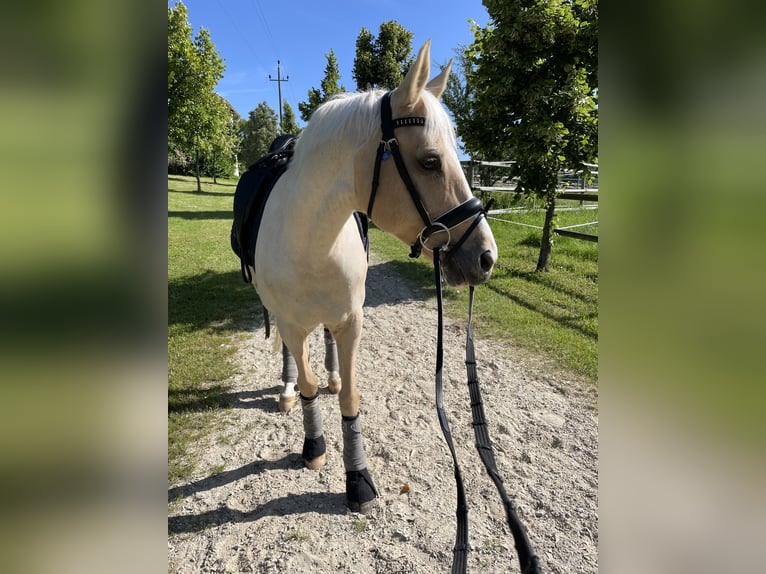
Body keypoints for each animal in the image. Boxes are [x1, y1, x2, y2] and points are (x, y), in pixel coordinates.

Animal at [248, 42, 498, 516]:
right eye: (430, 161)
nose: (487, 257)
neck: (310, 239)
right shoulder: (290, 323)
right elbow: (306, 380)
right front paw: (314, 445)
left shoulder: (352, 320)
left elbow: (350, 397)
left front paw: (358, 479)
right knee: (292, 357)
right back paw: (288, 391)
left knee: (326, 341)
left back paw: (331, 375)